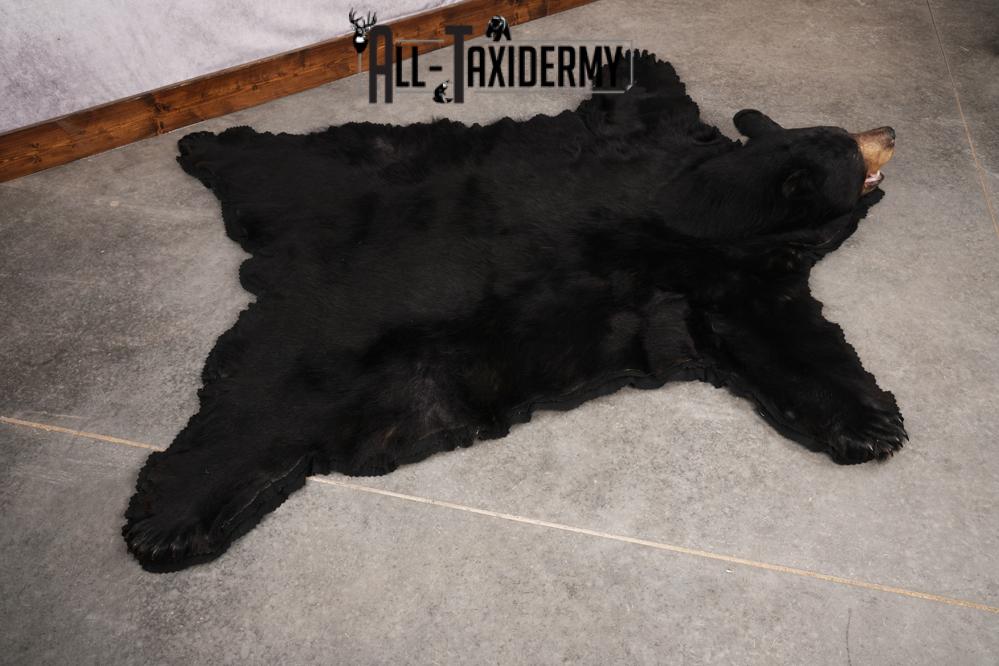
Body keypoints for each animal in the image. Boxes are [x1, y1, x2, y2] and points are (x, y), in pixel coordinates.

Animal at [123, 51, 904, 571]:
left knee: (273, 168)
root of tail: (277, 274)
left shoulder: (703, 247)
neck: (704, 209)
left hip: (329, 187)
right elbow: (785, 338)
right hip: (328, 373)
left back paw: (203, 143)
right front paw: (875, 427)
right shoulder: (723, 268)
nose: (890, 131)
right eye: (844, 142)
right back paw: (169, 521)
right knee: (258, 423)